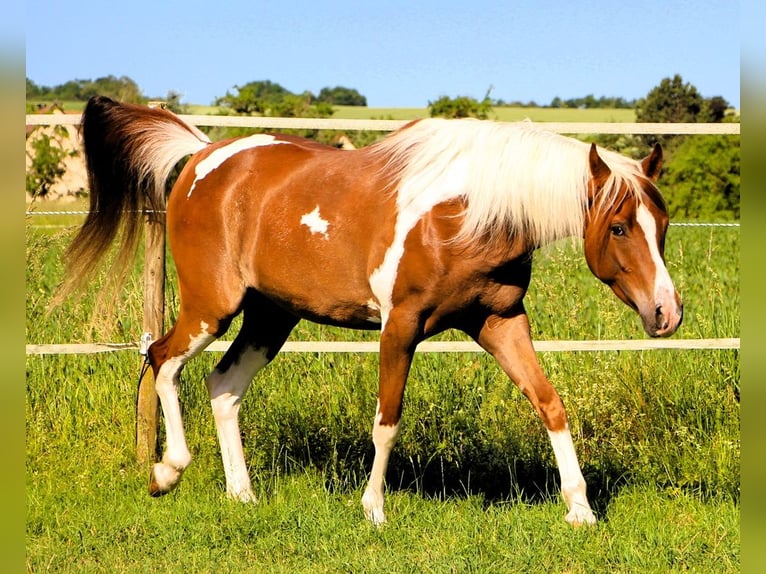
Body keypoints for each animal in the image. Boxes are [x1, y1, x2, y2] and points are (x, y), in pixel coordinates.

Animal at [63, 95, 682, 527]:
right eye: (619, 227)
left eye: (663, 224)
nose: (667, 314)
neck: (466, 213)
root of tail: (201, 156)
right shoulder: (400, 326)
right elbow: (387, 420)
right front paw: (374, 510)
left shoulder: (499, 321)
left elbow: (549, 403)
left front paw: (581, 510)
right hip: (210, 306)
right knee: (163, 359)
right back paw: (167, 472)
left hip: (271, 315)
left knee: (223, 384)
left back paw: (243, 495)